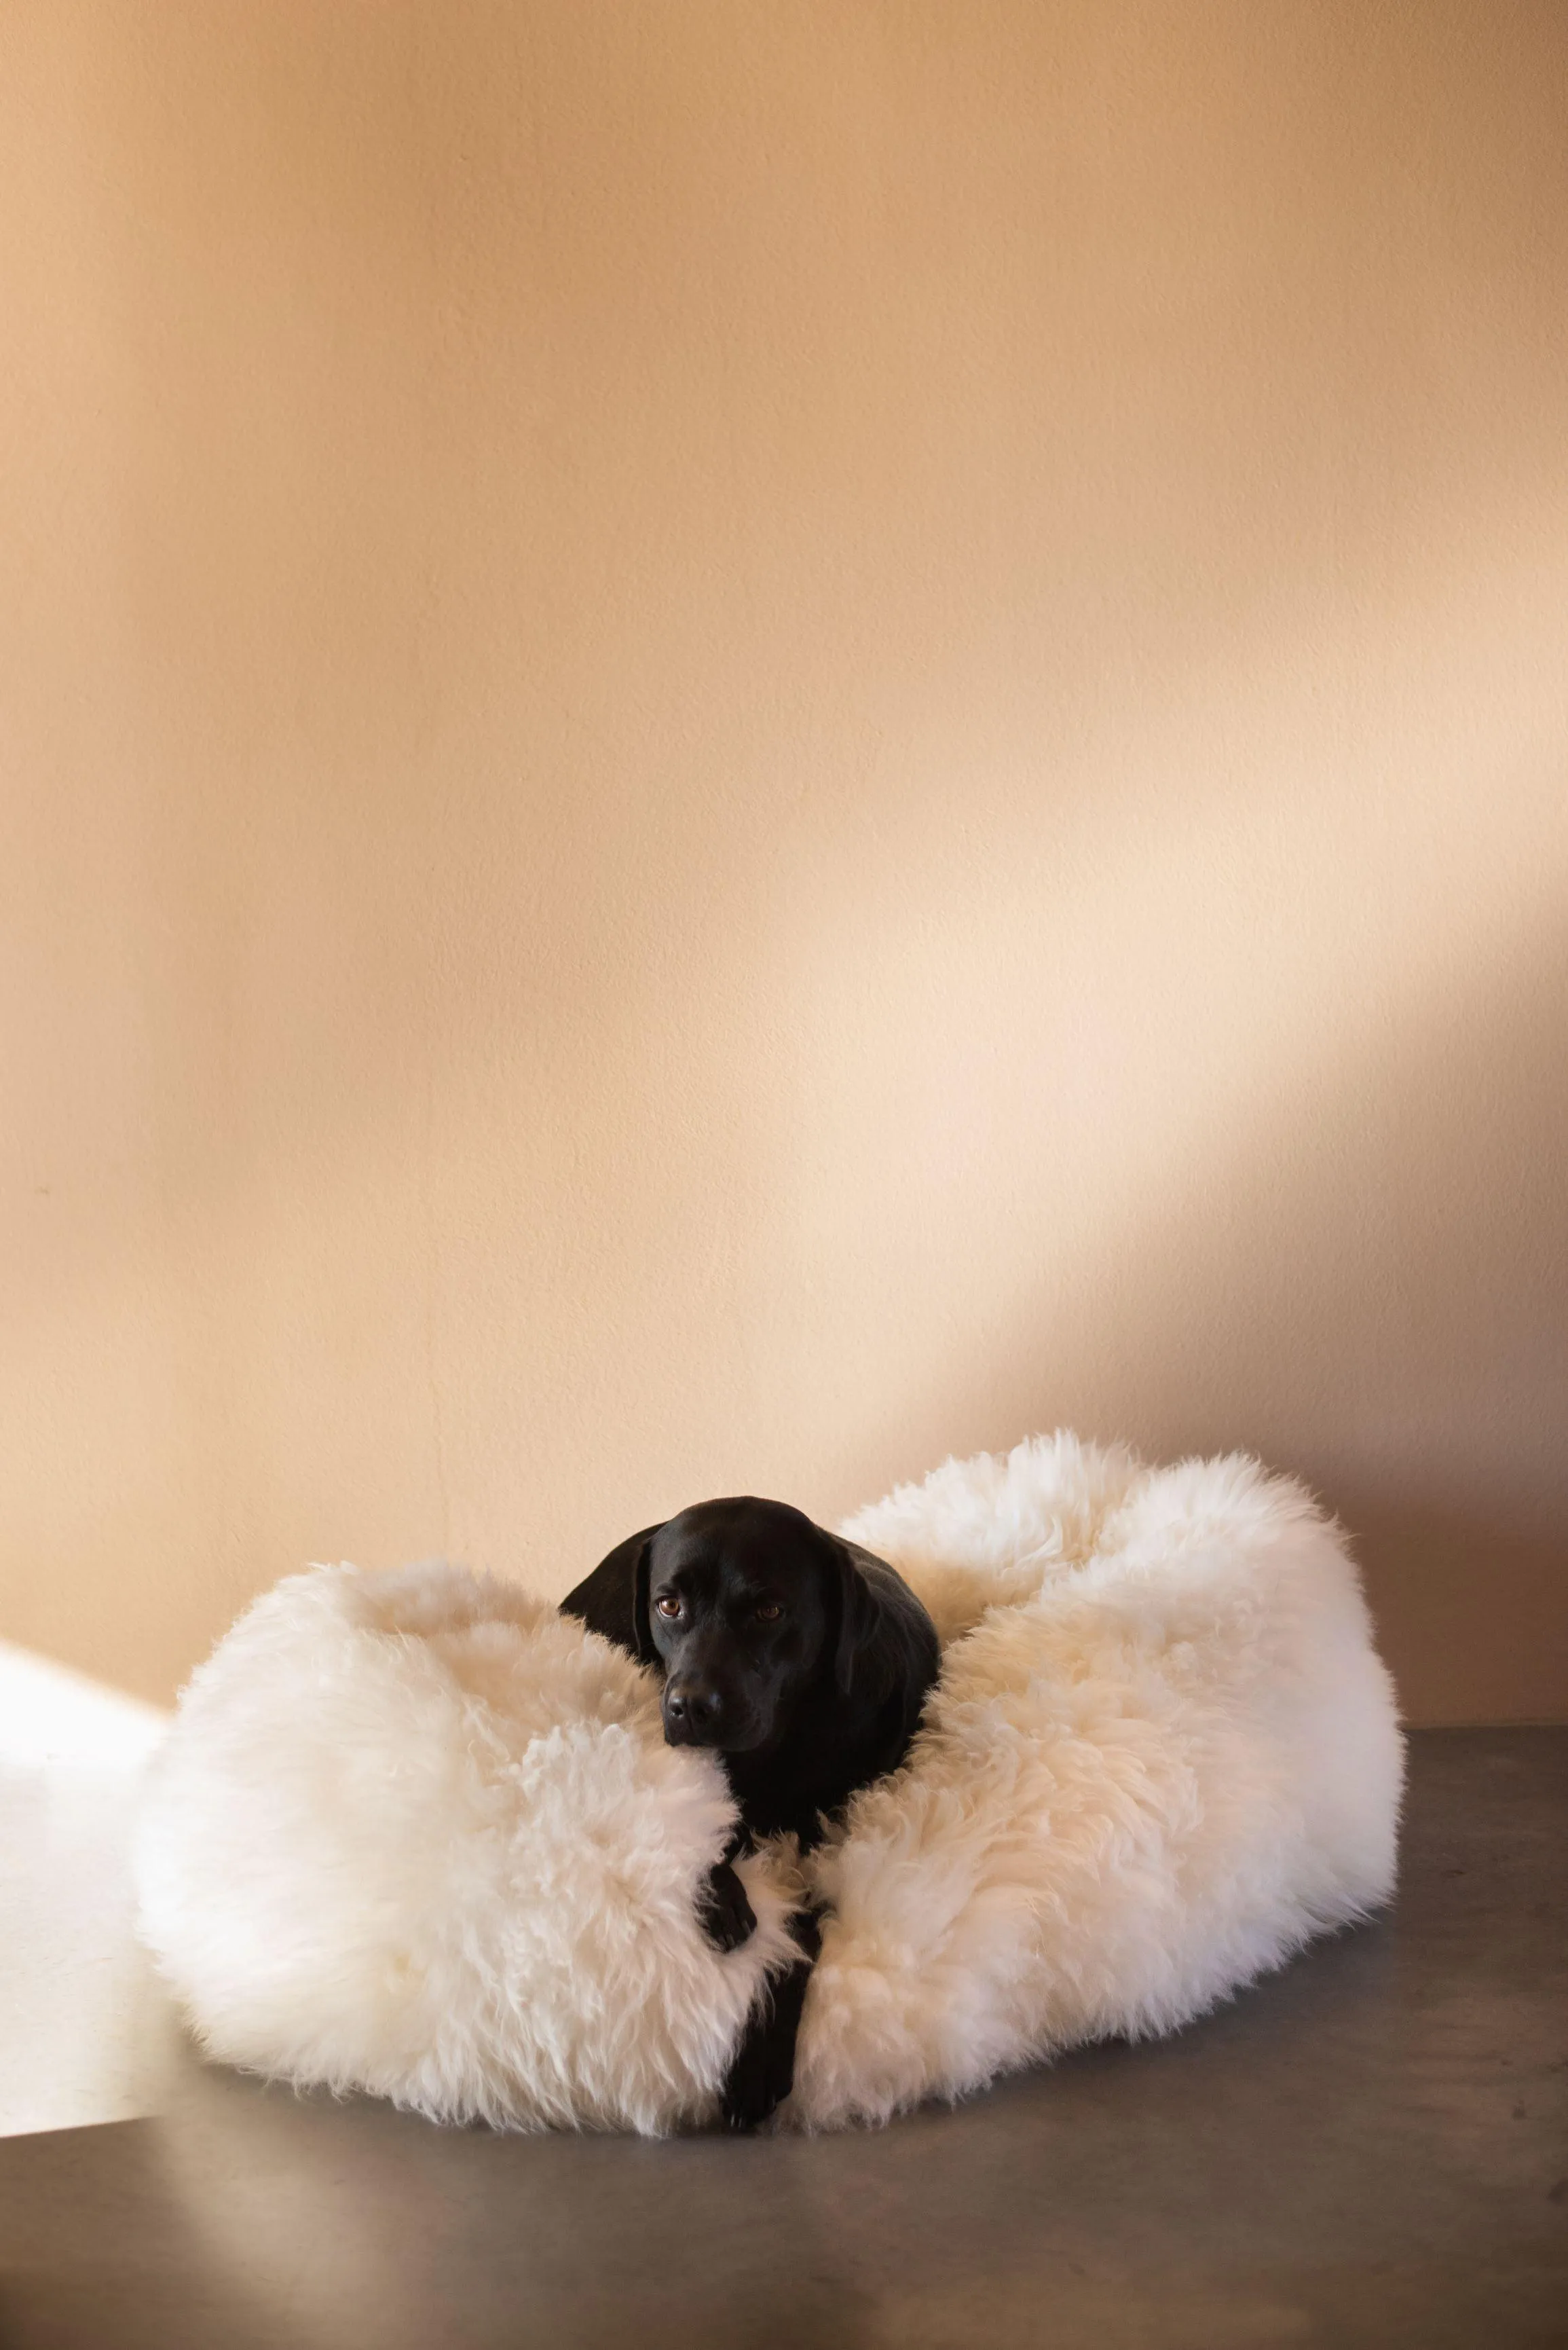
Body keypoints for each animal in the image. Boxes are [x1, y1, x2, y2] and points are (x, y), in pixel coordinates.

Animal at [561, 1504, 940, 2133]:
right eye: (670, 1605)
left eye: (769, 1611)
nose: (689, 1705)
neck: (776, 1753)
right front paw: (720, 1893)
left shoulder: (834, 1848)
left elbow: (799, 1930)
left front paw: (758, 2058)